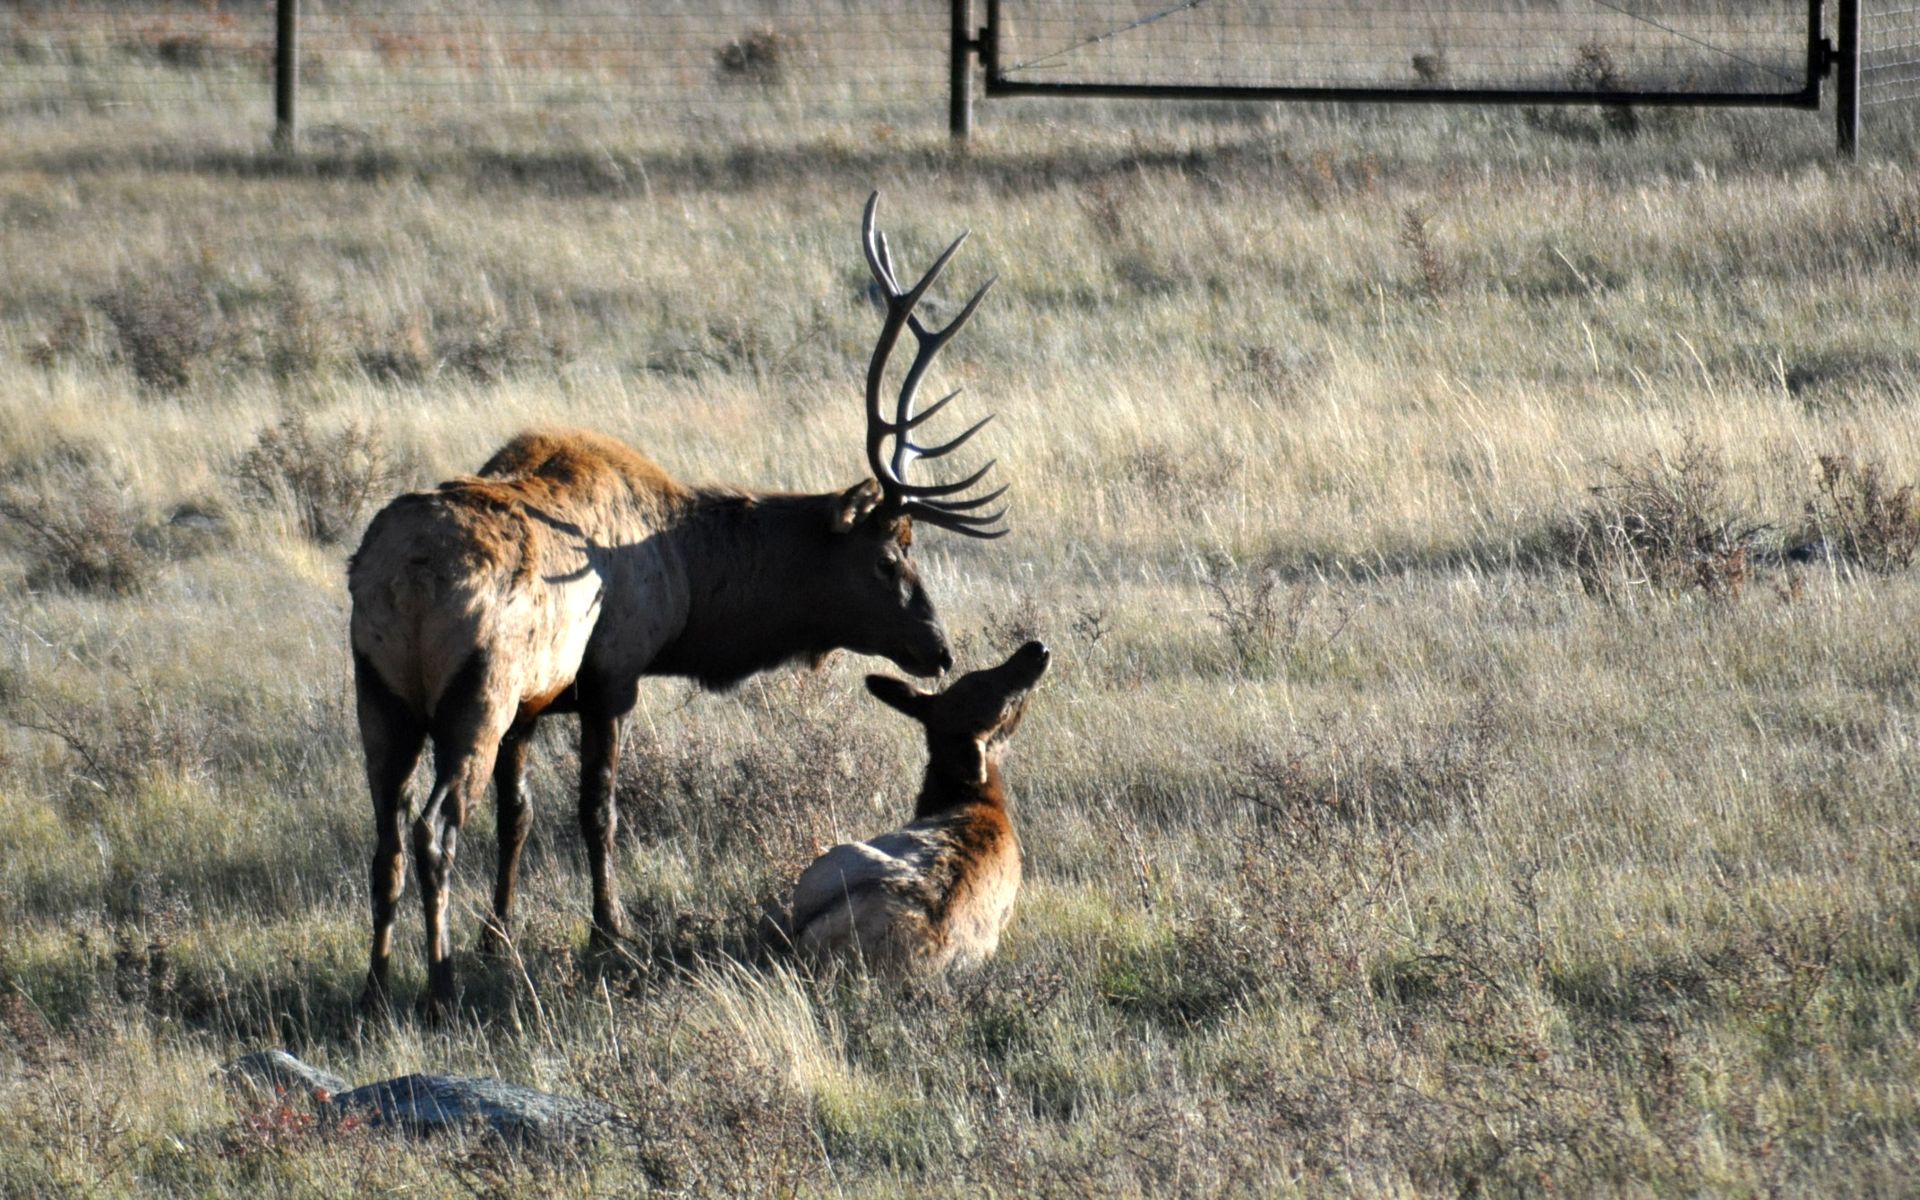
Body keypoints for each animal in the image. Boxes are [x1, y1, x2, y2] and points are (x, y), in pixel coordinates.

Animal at [349, 196, 1006, 1021]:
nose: (938, 647)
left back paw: (375, 985)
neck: (690, 583)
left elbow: (517, 817)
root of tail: (405, 579)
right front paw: (607, 933)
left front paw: (498, 939)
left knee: (385, 835)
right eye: (889, 556)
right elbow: (597, 811)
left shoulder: (534, 703)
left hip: (380, 689)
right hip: (476, 689)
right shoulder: (611, 673)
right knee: (434, 828)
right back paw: (437, 987)